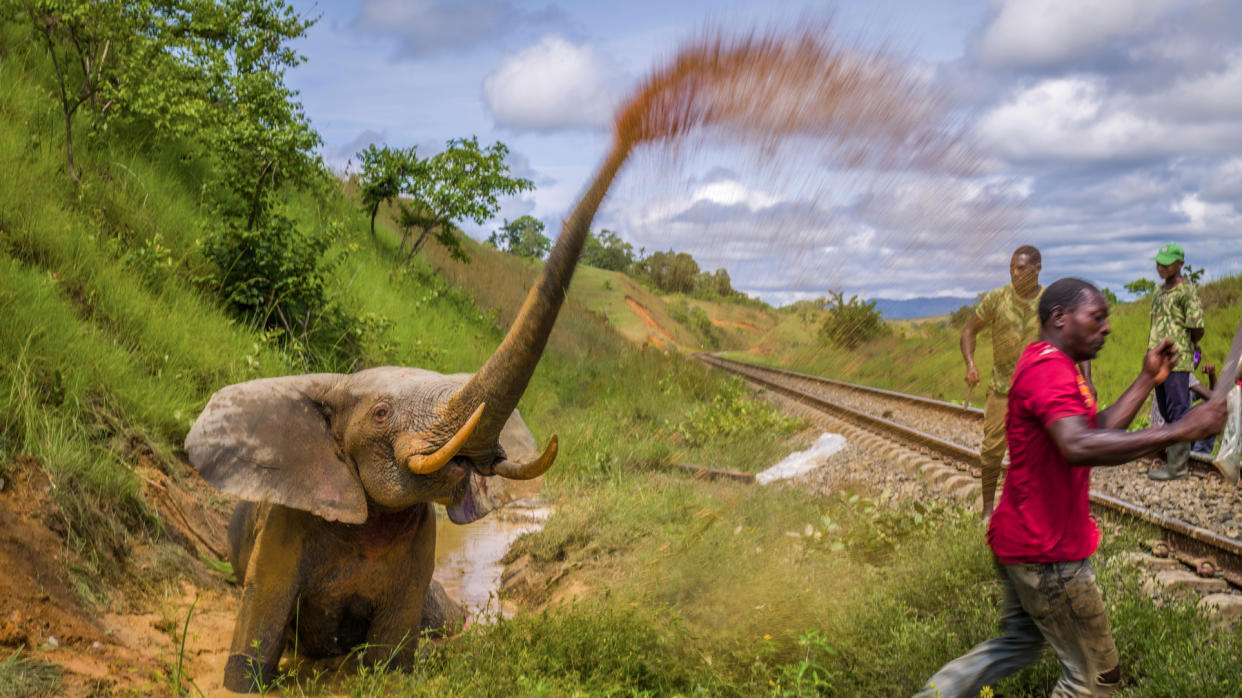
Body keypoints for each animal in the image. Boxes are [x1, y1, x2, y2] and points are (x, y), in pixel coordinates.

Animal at [186, 142, 630, 690]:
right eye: (380, 413)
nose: (629, 134)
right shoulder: (286, 522)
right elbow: (261, 617)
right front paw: (244, 682)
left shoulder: (420, 541)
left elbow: (393, 655)